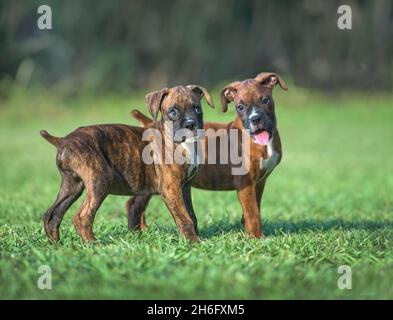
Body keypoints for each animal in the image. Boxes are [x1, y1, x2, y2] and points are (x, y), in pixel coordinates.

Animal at [40, 85, 211, 242]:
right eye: (173, 112)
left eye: (197, 109)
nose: (191, 124)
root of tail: (63, 140)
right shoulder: (171, 188)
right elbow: (184, 218)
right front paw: (194, 243)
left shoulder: (185, 186)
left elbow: (191, 215)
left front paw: (196, 239)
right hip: (100, 180)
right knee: (82, 216)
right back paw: (94, 245)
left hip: (72, 186)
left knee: (52, 214)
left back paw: (57, 245)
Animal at [130, 72, 286, 238]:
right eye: (240, 107)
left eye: (265, 100)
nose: (255, 118)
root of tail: (150, 124)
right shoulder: (245, 183)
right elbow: (253, 213)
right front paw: (256, 238)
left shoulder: (259, 182)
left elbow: (254, 210)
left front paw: (248, 232)